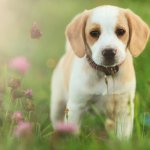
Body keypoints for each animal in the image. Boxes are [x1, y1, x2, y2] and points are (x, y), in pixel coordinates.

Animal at [50, 5, 149, 139]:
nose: (109, 52)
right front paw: (72, 141)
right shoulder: (76, 106)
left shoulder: (124, 108)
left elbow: (122, 137)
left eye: (121, 31)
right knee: (57, 120)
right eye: (94, 33)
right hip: (58, 104)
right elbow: (73, 133)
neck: (106, 74)